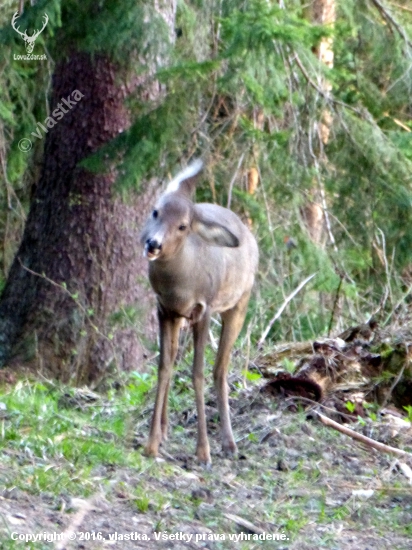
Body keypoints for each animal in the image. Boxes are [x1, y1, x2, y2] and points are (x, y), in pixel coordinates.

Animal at [142, 158, 258, 466]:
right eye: (155, 211)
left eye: (183, 226)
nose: (153, 243)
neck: (180, 284)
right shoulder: (164, 309)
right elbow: (164, 367)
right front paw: (152, 444)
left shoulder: (203, 308)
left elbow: (198, 372)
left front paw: (203, 451)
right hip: (180, 318)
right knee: (176, 360)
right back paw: (165, 430)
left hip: (239, 303)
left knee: (220, 369)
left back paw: (229, 443)